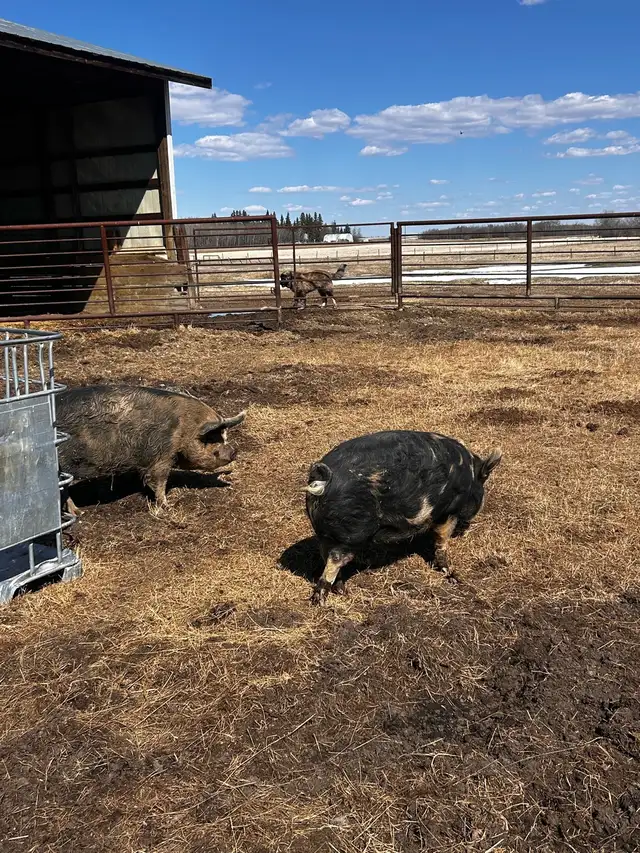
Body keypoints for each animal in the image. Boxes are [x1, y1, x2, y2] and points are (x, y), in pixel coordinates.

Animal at [56, 385, 246, 509]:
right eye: (211, 439)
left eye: (224, 436)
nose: (234, 451)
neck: (185, 428)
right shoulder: (162, 454)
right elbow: (158, 480)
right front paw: (168, 506)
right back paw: (79, 513)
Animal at [304, 430, 502, 604]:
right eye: (482, 485)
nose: (466, 527)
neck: (469, 477)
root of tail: (325, 481)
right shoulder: (447, 512)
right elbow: (441, 541)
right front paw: (452, 575)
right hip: (352, 532)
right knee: (335, 560)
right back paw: (323, 600)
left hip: (325, 534)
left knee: (326, 556)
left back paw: (341, 590)